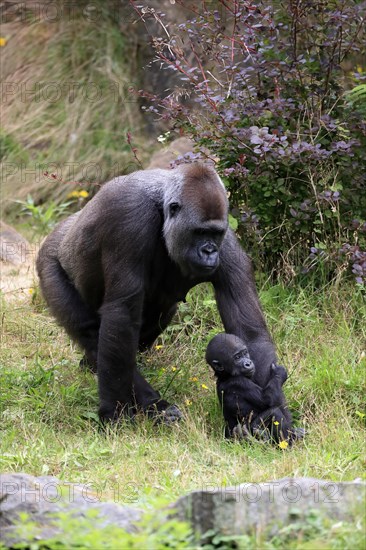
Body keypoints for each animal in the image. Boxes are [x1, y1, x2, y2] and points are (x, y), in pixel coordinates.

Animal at [36, 163, 278, 422]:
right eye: (199, 232)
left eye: (214, 233)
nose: (210, 252)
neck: (162, 206)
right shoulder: (129, 216)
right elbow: (121, 316)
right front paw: (115, 412)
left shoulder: (228, 242)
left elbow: (249, 331)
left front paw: (273, 407)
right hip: (49, 262)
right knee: (92, 332)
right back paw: (154, 405)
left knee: (156, 318)